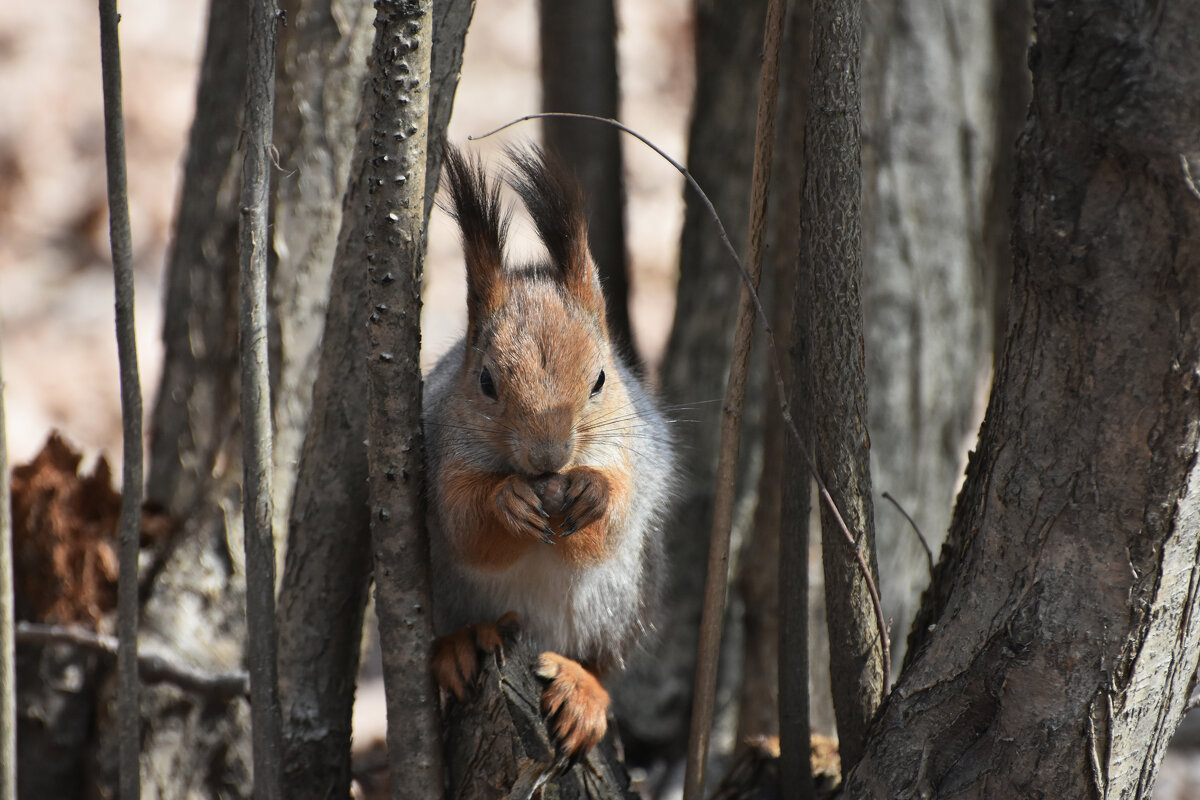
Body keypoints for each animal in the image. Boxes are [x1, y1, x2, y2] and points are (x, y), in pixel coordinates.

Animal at [429, 143, 676, 758]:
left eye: (600, 379)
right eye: (485, 382)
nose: (548, 457)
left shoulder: (635, 453)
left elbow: (612, 518)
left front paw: (593, 491)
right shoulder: (442, 456)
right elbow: (466, 524)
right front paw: (507, 501)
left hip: (627, 600)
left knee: (603, 662)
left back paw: (582, 689)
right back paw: (464, 644)